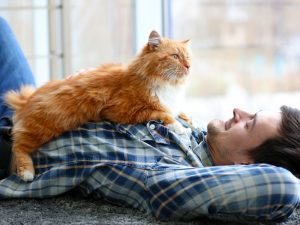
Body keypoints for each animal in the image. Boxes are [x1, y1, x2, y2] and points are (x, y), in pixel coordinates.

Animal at [4, 30, 191, 181]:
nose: (189, 66)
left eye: (188, 57)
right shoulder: (123, 110)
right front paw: (179, 126)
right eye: (175, 56)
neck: (166, 84)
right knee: (17, 146)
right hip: (44, 127)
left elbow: (179, 111)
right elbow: (161, 112)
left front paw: (189, 121)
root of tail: (25, 100)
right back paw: (27, 173)